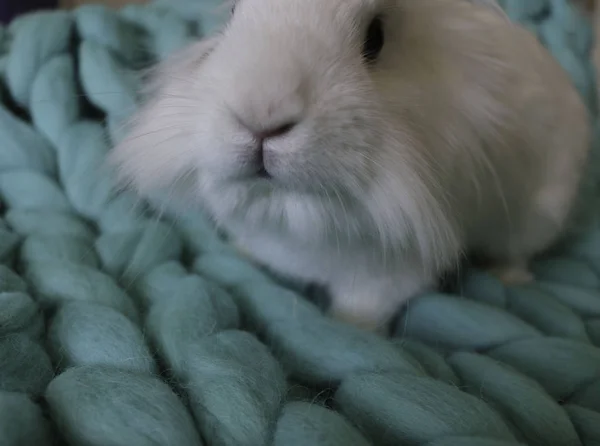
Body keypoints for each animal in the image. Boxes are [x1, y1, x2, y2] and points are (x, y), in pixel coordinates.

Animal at [111, 0, 592, 332]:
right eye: (231, 16)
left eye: (374, 38)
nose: (260, 116)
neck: (289, 214)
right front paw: (242, 253)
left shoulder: (388, 275)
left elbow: (361, 309)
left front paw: (349, 330)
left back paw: (508, 278)